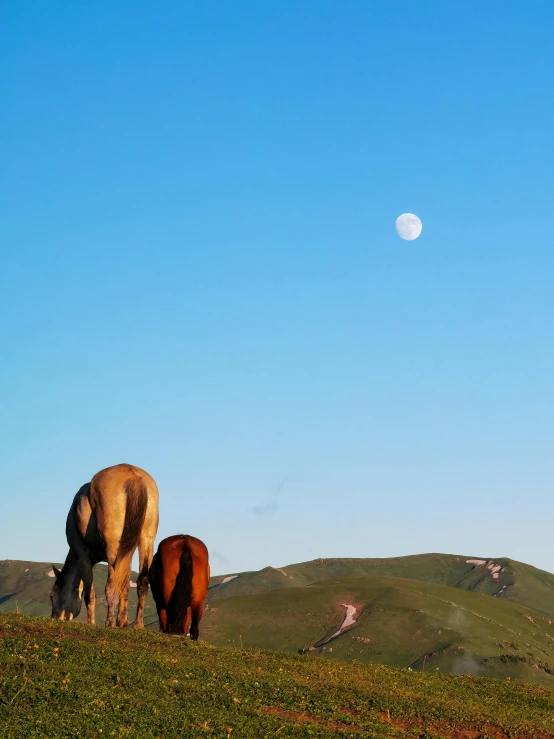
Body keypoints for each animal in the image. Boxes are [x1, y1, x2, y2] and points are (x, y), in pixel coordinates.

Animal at [49, 462, 160, 632]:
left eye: (52, 596)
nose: (54, 618)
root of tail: (132, 475)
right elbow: (125, 584)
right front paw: (123, 621)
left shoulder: (82, 554)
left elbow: (90, 593)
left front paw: (92, 623)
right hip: (146, 540)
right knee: (142, 580)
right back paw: (137, 624)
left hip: (114, 547)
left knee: (111, 585)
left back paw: (110, 622)